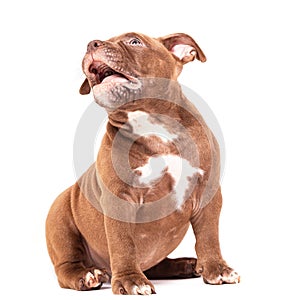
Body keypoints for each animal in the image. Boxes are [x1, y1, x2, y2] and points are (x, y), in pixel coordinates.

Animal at [45, 31, 240, 294]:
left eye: (134, 41)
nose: (91, 44)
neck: (152, 124)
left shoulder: (207, 191)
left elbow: (209, 235)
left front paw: (217, 269)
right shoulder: (118, 199)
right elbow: (123, 243)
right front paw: (131, 280)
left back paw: (185, 265)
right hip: (59, 219)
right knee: (66, 266)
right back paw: (87, 275)